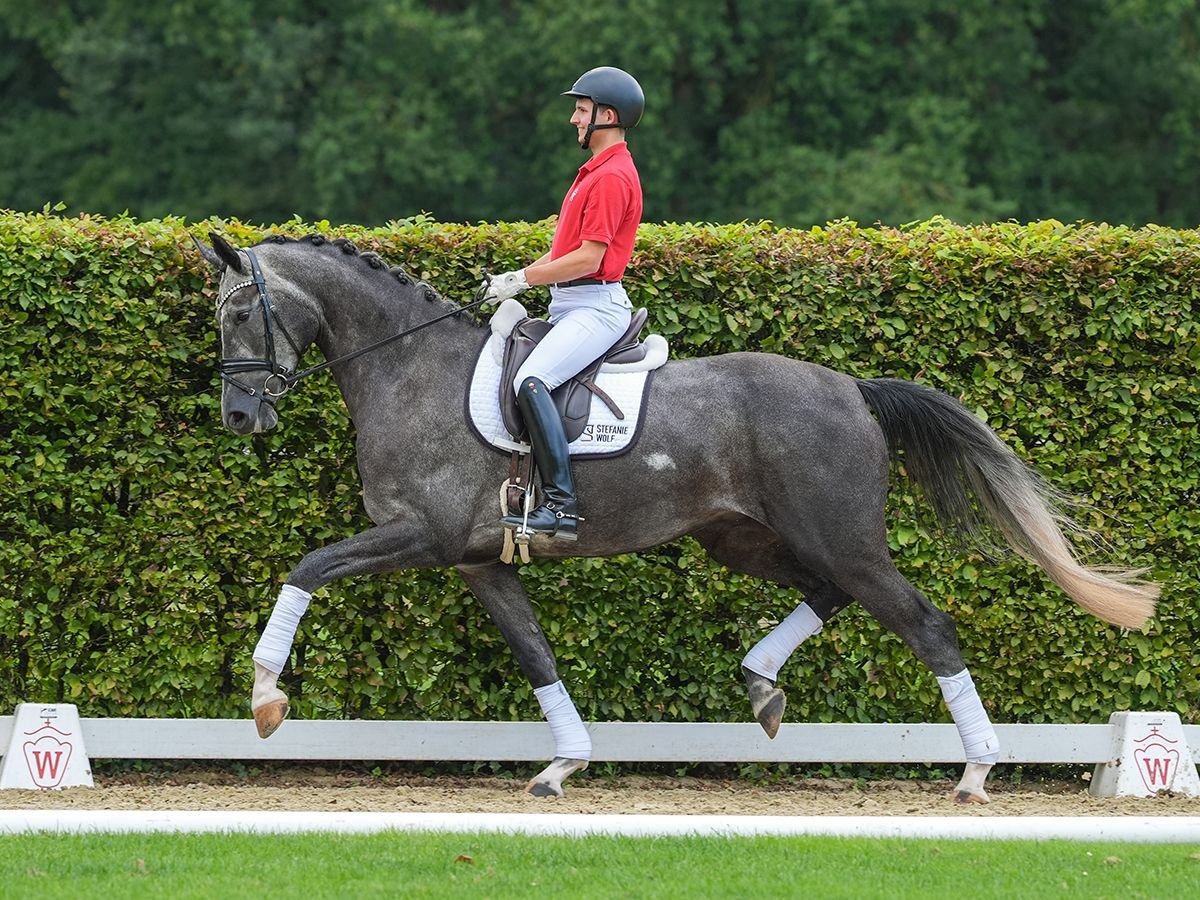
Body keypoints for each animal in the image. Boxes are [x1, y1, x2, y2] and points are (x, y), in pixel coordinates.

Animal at [199, 230, 1161, 801]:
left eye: (241, 311)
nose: (240, 418)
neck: (409, 368)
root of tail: (851, 386)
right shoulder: (479, 561)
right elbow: (537, 655)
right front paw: (564, 763)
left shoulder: (420, 537)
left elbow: (305, 568)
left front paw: (266, 697)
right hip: (747, 539)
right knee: (827, 597)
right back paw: (763, 687)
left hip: (841, 540)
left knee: (926, 624)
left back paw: (974, 771)